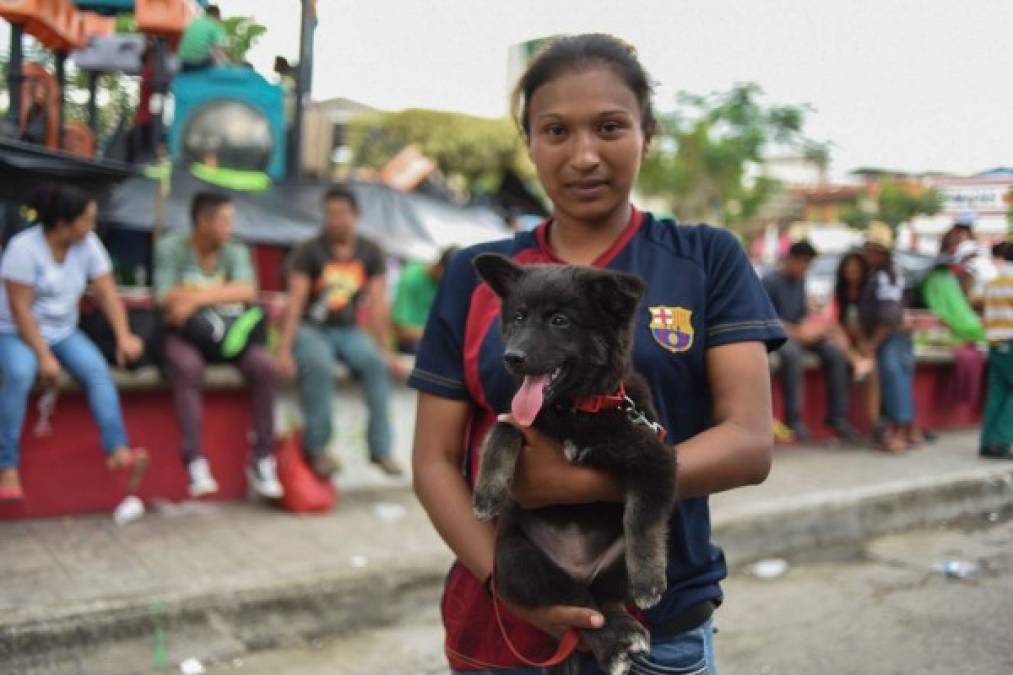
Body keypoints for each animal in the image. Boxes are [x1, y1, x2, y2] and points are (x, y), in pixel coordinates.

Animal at [470, 252, 676, 672]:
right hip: (517, 562)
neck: (574, 409)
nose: (512, 358)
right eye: (518, 317)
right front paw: (488, 492)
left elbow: (642, 518)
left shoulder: (654, 457)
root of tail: (581, 571)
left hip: (611, 565)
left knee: (605, 602)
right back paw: (614, 644)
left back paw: (625, 632)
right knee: (581, 608)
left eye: (559, 321)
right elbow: (503, 431)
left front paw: (649, 579)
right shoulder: (519, 420)